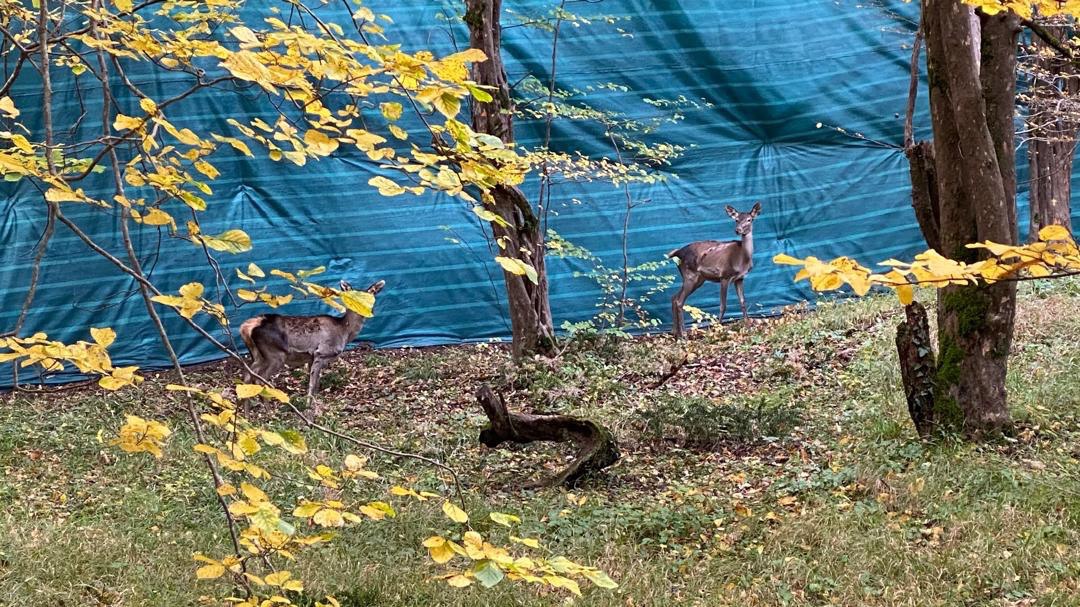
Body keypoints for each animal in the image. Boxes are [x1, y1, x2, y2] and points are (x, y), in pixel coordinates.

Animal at [239, 279, 385, 398]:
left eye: (372, 297)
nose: (367, 310)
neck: (344, 332)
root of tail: (248, 326)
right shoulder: (321, 352)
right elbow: (312, 385)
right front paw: (310, 405)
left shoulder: (311, 357)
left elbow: (316, 383)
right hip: (275, 354)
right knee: (259, 379)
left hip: (258, 355)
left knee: (248, 376)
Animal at [668, 202, 761, 339]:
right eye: (736, 220)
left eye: (749, 219)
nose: (738, 230)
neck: (742, 260)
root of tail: (677, 253)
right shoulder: (725, 276)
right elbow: (723, 305)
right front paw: (717, 329)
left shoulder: (739, 278)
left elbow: (743, 302)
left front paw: (748, 327)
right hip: (690, 275)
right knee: (679, 301)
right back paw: (684, 334)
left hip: (698, 279)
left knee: (674, 297)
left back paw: (675, 332)